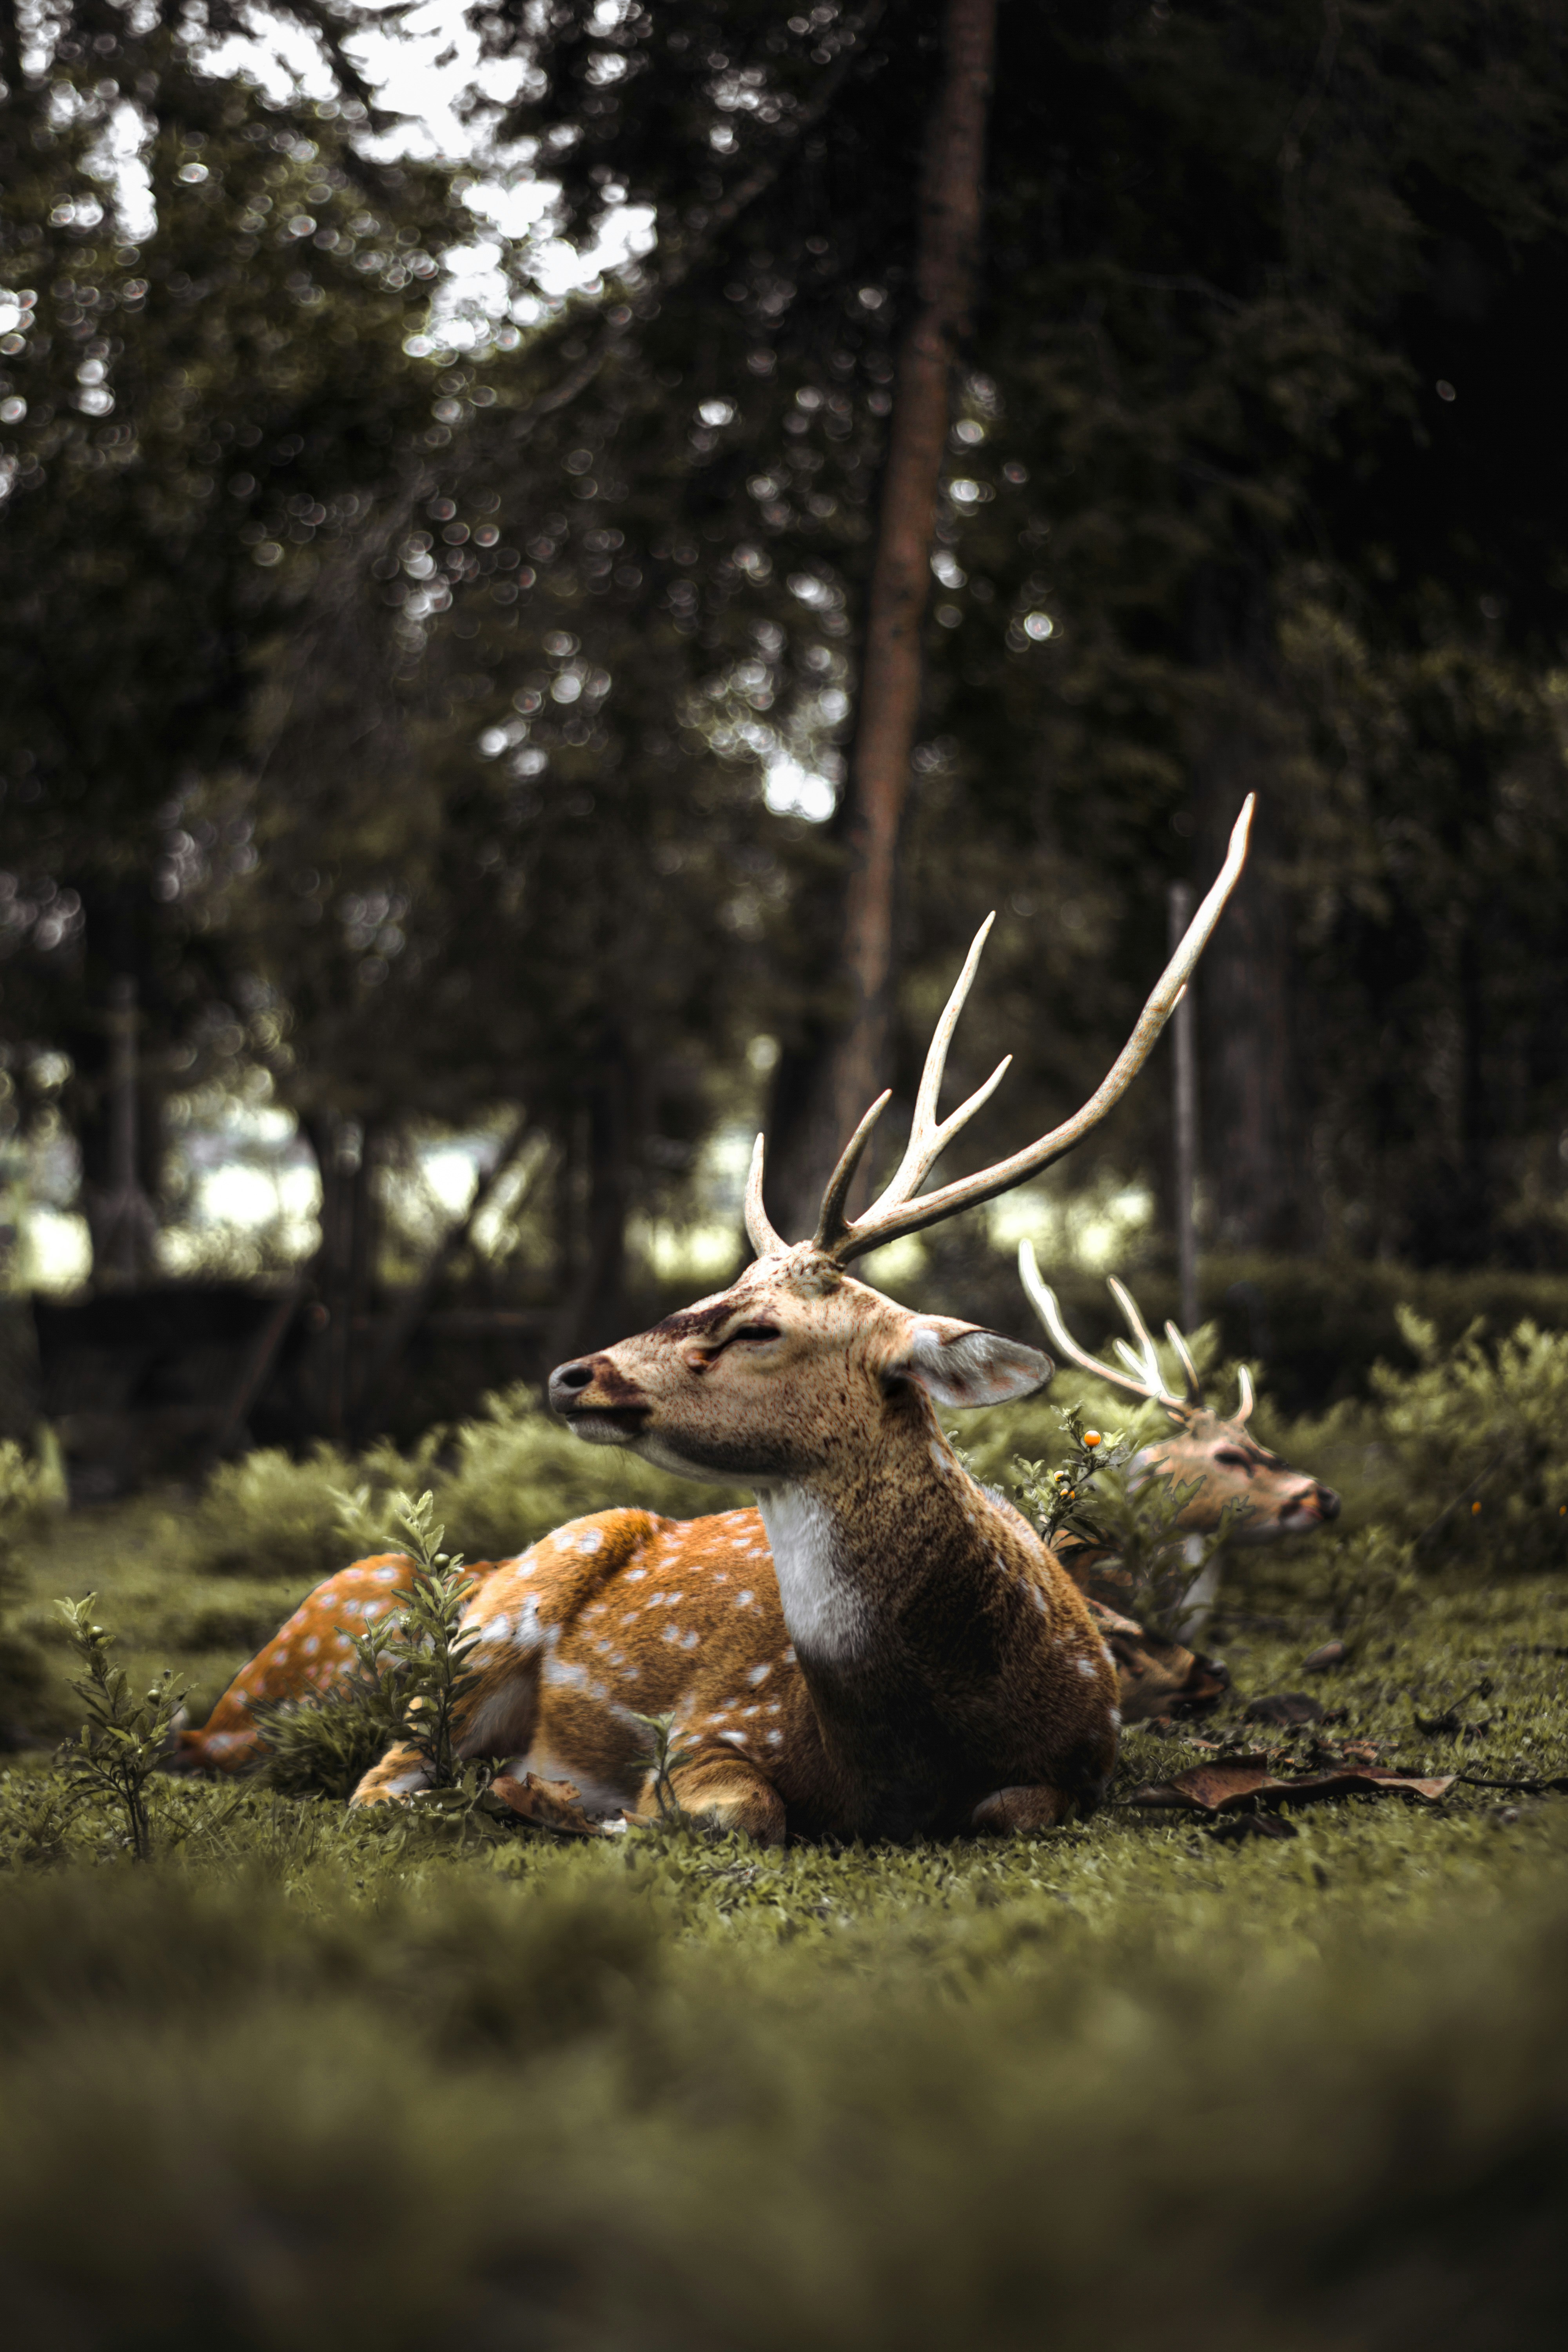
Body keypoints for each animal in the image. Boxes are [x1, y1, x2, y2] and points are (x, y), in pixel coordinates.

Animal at [181, 800, 1254, 1837]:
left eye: (761, 1328)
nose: (573, 1373)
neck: (904, 1754)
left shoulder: (1081, 1762)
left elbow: (1012, 1810)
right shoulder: (716, 1719)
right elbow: (746, 1813)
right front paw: (593, 1807)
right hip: (496, 1617)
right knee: (384, 1778)